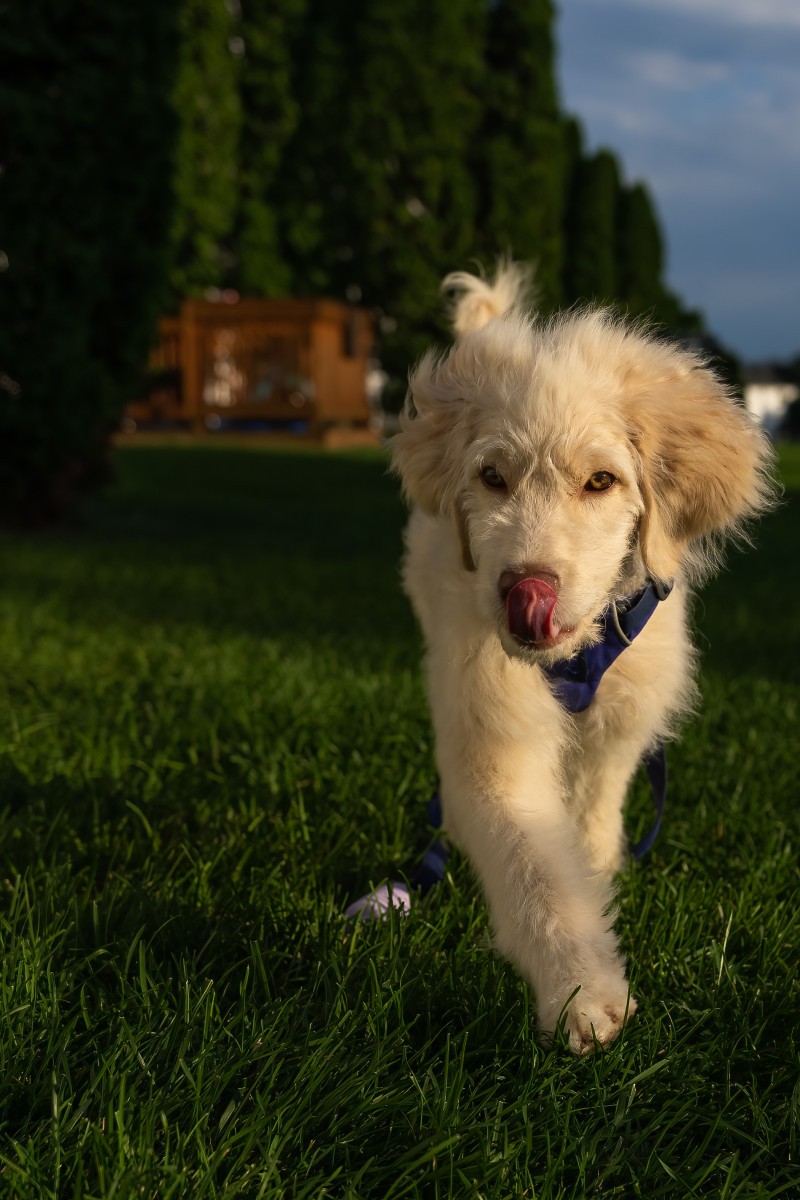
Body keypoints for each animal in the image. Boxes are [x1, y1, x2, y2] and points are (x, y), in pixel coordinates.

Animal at [391, 263, 773, 1054]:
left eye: (601, 481)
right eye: (492, 477)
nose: (523, 593)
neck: (575, 656)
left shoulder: (622, 721)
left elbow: (593, 808)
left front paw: (596, 872)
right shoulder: (491, 731)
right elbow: (534, 866)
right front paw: (582, 992)